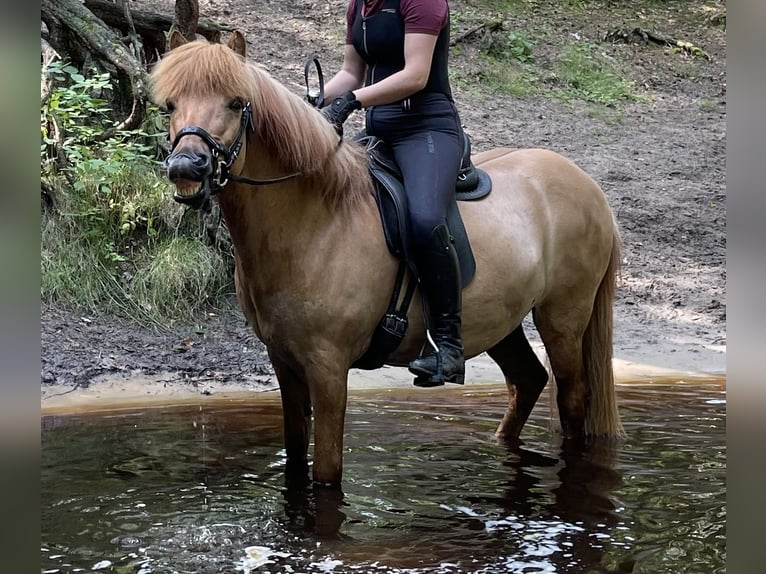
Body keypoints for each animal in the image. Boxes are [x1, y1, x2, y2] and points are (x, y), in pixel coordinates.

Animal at [150, 31, 624, 485]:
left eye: (235, 102)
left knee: (571, 396)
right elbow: (296, 464)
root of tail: (587, 185)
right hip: (502, 321)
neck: (317, 222)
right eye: (170, 104)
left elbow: (326, 474)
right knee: (528, 381)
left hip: (563, 317)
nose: (186, 168)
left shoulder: (328, 368)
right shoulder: (284, 363)